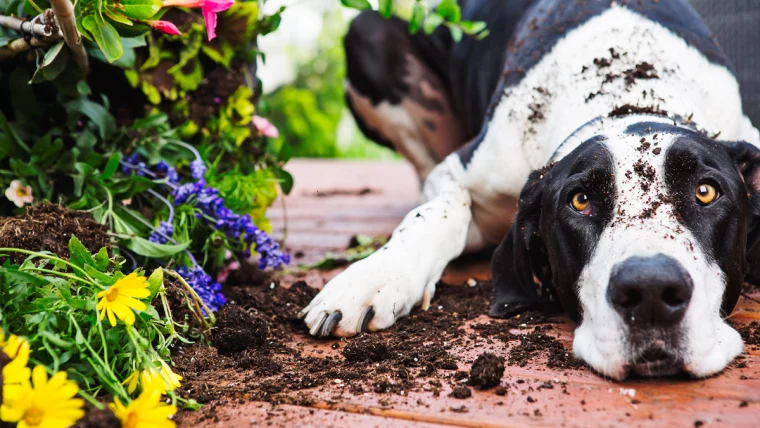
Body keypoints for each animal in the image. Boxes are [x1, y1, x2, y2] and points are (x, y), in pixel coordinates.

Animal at [296, 0, 760, 382]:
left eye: (706, 192)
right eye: (580, 200)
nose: (650, 293)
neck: (628, 95)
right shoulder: (460, 172)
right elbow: (437, 213)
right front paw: (374, 277)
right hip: (368, 32)